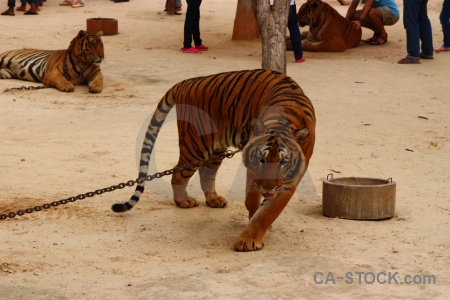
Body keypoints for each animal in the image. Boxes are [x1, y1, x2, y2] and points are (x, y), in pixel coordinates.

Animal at [111, 69, 316, 252]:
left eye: (282, 162)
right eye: (261, 160)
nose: (267, 188)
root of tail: (185, 82)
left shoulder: (288, 181)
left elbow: (267, 212)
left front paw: (252, 233)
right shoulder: (253, 170)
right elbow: (253, 202)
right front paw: (250, 236)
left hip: (215, 150)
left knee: (206, 172)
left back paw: (213, 199)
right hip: (195, 146)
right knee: (178, 173)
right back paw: (183, 201)